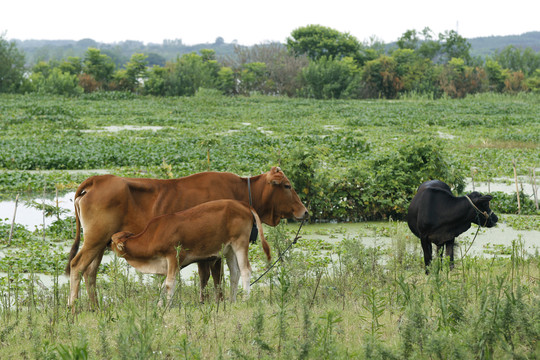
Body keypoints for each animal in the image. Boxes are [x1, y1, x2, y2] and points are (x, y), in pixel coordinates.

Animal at [110, 198, 270, 306]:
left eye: (112, 241)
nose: (107, 243)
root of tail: (243, 204)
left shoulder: (175, 256)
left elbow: (169, 283)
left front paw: (167, 306)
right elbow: (163, 285)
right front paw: (160, 305)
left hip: (240, 243)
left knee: (246, 270)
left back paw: (245, 299)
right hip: (229, 249)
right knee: (235, 272)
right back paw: (232, 300)